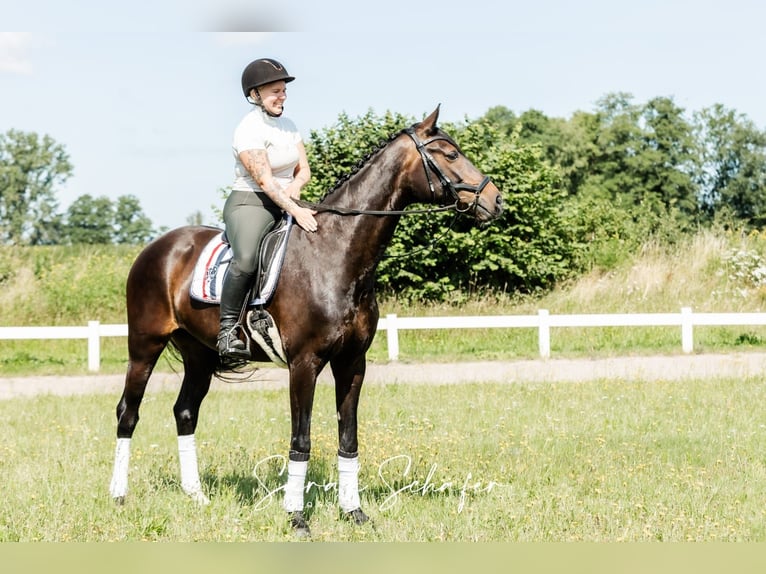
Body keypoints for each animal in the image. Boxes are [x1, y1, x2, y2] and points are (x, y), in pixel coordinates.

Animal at [106, 107, 504, 536]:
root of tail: (157, 247)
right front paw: (296, 518)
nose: (495, 199)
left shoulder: (352, 363)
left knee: (185, 412)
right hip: (144, 346)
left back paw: (196, 495)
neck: (335, 252)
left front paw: (354, 512)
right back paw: (119, 495)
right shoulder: (304, 364)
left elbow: (349, 439)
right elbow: (302, 440)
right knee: (128, 412)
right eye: (450, 154)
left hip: (199, 355)